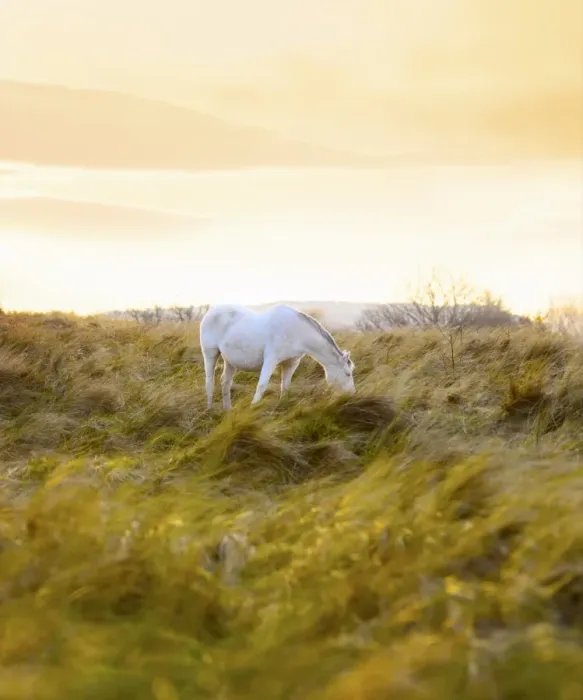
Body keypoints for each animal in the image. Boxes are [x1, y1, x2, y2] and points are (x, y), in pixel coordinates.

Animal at [199, 303, 355, 410]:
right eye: (347, 374)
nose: (351, 395)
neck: (296, 332)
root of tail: (210, 312)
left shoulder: (291, 363)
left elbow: (285, 386)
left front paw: (281, 406)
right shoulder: (271, 360)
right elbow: (262, 385)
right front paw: (253, 408)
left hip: (230, 360)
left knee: (225, 382)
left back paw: (228, 410)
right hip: (210, 353)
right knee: (209, 381)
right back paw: (210, 409)